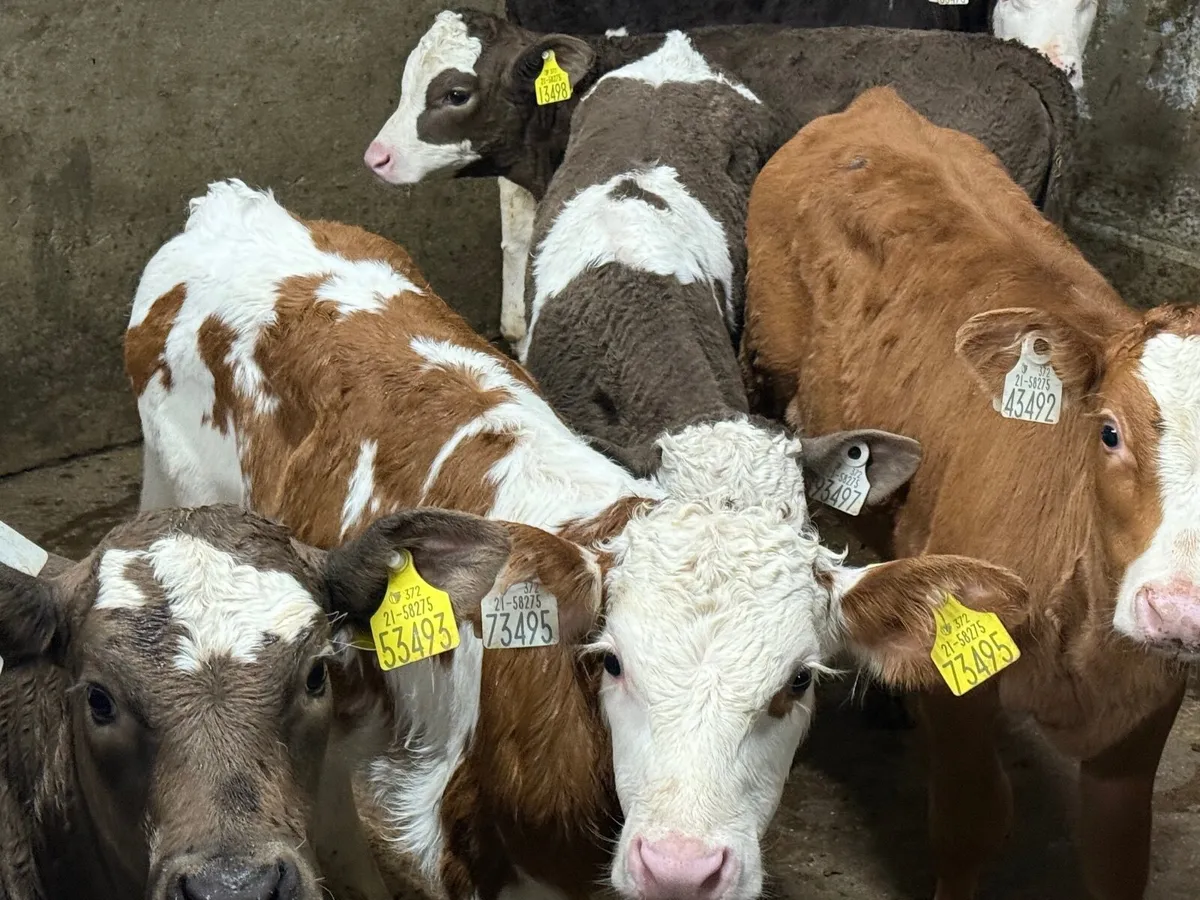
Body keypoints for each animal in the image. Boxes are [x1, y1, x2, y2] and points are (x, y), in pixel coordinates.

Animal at [739, 85, 1195, 900]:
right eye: (1109, 432)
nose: (1179, 608)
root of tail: (880, 106)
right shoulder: (963, 677)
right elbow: (972, 820)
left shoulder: (1145, 709)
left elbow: (1117, 855)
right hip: (767, 366)